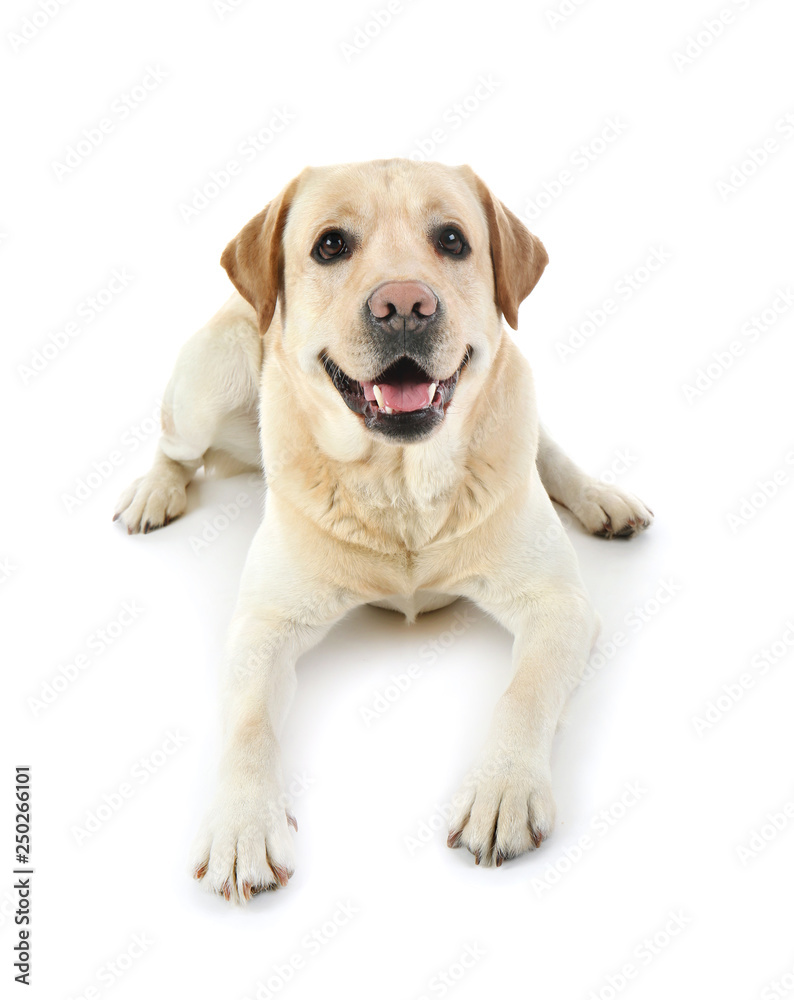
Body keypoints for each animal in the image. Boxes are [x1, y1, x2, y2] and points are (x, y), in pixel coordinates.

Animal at [114, 160, 652, 904]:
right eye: (330, 245)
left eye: (452, 239)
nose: (404, 305)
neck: (401, 485)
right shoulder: (263, 625)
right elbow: (249, 725)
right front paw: (241, 825)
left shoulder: (558, 606)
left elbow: (523, 692)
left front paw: (503, 788)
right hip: (206, 383)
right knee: (173, 445)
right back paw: (155, 491)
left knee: (543, 447)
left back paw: (600, 498)